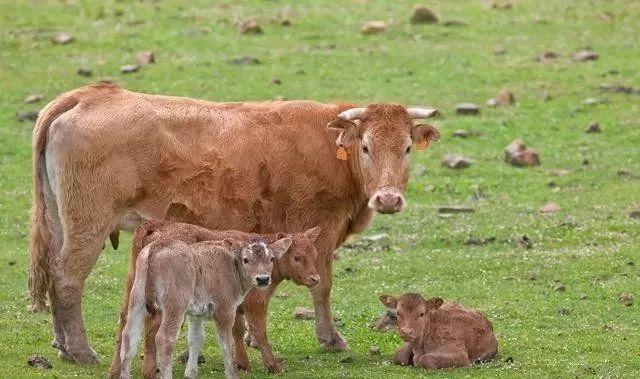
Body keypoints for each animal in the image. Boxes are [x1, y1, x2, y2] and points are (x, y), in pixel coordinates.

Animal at [109, 220, 322, 378]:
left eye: (314, 254)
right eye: (297, 257)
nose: (315, 278)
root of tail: (155, 230)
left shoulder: (223, 308)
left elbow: (229, 332)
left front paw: (242, 363)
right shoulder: (249, 304)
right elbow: (254, 332)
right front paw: (273, 366)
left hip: (135, 297)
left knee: (126, 329)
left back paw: (117, 371)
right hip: (170, 308)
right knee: (158, 334)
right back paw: (151, 371)